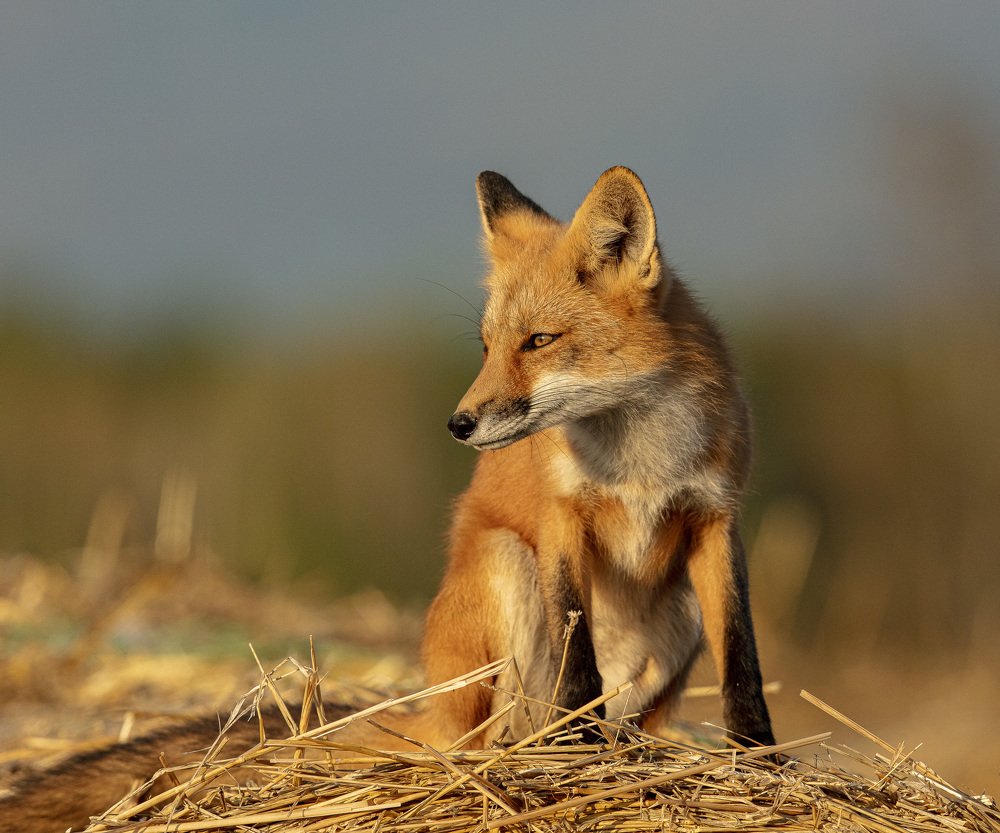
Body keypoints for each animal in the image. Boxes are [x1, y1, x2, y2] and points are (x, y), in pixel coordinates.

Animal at [0, 167, 773, 832]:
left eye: (540, 340)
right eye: (487, 345)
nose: (458, 423)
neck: (638, 457)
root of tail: (432, 703)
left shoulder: (716, 520)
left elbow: (743, 662)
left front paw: (761, 761)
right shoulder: (562, 521)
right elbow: (576, 657)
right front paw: (579, 760)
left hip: (678, 617)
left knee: (614, 717)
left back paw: (621, 752)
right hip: (504, 568)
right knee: (484, 740)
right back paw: (534, 757)